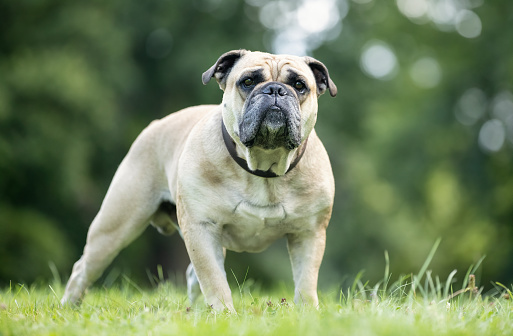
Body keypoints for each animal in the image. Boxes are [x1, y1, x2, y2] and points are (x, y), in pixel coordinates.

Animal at [61, 48, 336, 312]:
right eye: (248, 81)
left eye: (299, 85)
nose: (276, 90)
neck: (262, 168)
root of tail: (155, 125)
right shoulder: (202, 228)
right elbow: (214, 279)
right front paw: (225, 314)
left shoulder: (308, 233)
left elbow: (305, 281)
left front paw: (308, 313)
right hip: (115, 225)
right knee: (84, 268)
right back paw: (68, 306)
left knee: (193, 276)